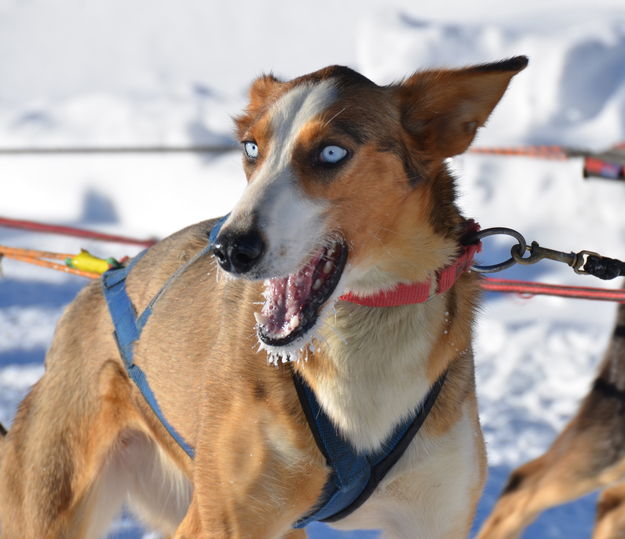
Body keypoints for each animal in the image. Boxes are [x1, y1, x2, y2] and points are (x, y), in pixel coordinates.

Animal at [0, 57, 528, 536]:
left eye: (331, 153)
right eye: (252, 147)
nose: (229, 248)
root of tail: (96, 287)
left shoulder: (433, 518)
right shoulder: (225, 521)